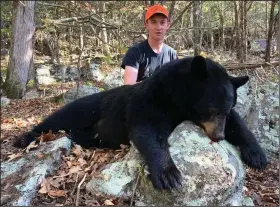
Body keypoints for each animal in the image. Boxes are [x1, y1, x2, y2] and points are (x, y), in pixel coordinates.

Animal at [14, 55, 268, 191]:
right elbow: (148, 130)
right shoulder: (152, 100)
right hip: (86, 107)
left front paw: (257, 154)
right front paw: (169, 174)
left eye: (226, 109)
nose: (219, 136)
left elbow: (239, 123)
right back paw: (24, 138)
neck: (179, 97)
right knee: (57, 118)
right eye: (211, 109)